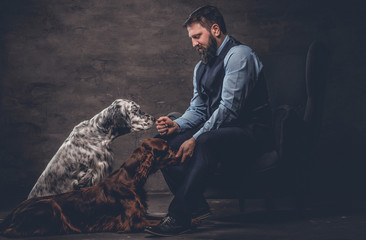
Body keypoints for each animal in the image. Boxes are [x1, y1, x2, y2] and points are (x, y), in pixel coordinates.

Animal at [0, 138, 178, 237]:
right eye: (167, 148)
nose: (179, 148)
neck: (130, 180)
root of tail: (13, 211)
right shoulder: (132, 222)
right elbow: (156, 222)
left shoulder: (142, 215)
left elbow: (161, 218)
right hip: (51, 205)